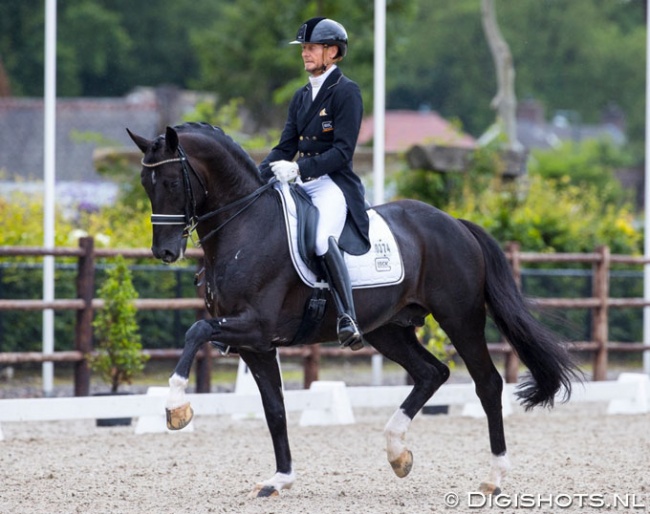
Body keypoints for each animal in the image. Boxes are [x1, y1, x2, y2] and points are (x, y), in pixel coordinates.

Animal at [128, 121, 576, 496]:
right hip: (387, 329)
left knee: (487, 384)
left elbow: (196, 332)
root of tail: (455, 223)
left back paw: (493, 477)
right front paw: (280, 478)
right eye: (146, 183)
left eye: (172, 181)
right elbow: (275, 408)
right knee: (432, 373)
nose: (164, 252)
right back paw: (397, 453)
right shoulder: (257, 345)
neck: (245, 226)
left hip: (460, 318)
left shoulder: (255, 326)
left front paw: (176, 407)